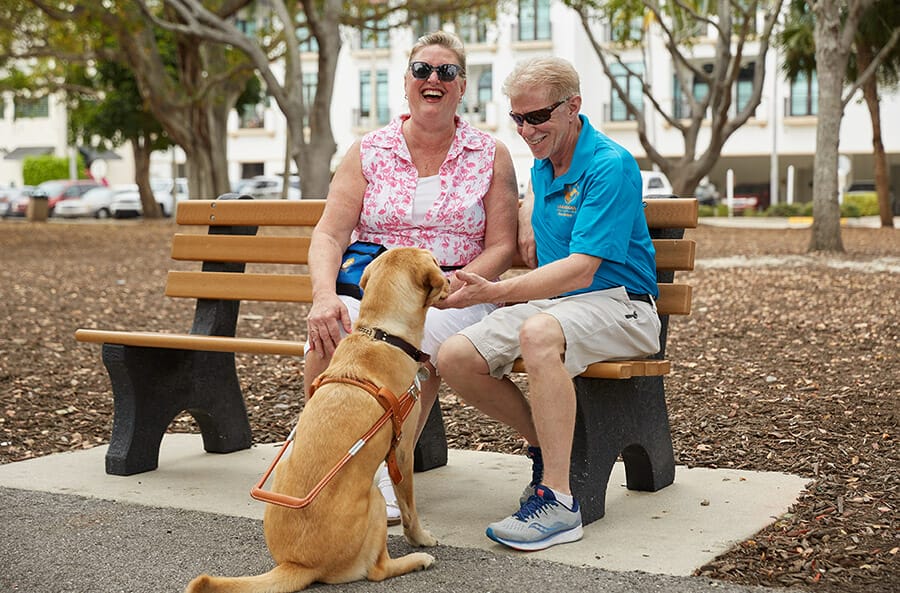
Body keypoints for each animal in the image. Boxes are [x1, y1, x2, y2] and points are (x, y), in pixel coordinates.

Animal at [185, 247, 446, 588]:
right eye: (437, 262)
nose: (453, 276)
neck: (382, 335)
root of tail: (298, 563)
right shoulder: (402, 450)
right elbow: (409, 508)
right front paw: (421, 537)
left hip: (283, 467)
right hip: (374, 498)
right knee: (377, 570)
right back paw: (417, 559)